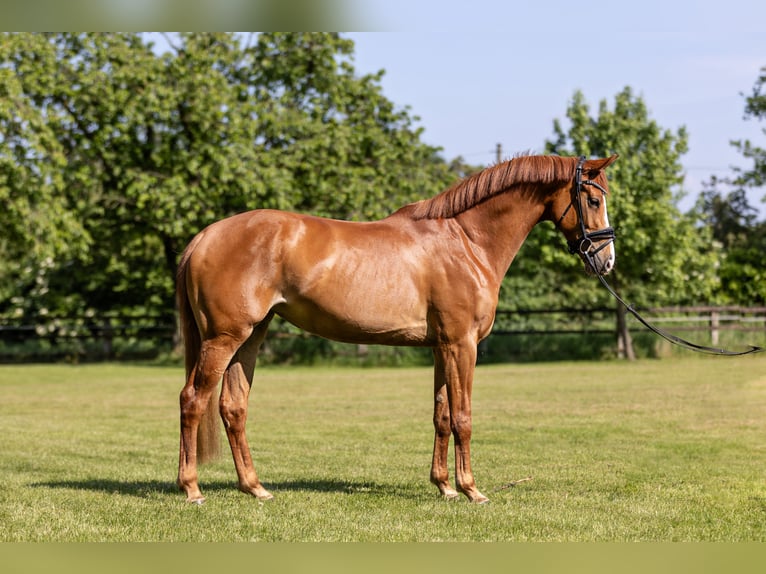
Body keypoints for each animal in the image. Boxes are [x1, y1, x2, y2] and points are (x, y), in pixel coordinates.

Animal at [174, 153, 616, 504]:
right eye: (593, 199)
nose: (606, 260)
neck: (466, 241)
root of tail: (204, 236)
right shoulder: (462, 345)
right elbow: (463, 417)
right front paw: (471, 489)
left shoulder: (441, 347)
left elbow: (441, 414)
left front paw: (444, 486)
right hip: (224, 338)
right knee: (192, 400)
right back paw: (192, 489)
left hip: (251, 337)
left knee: (233, 407)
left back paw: (254, 487)